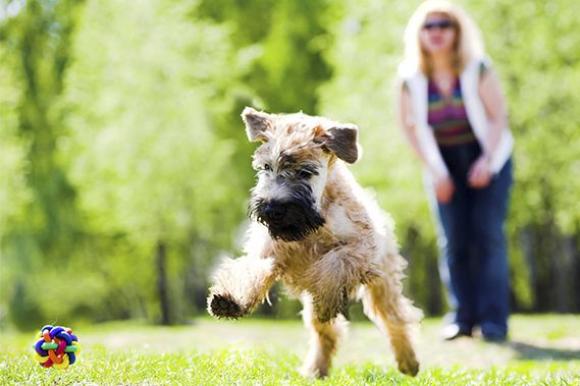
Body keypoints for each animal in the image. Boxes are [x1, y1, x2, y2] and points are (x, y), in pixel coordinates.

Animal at [208, 107, 422, 378]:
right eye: (266, 167)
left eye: (305, 172)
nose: (272, 209)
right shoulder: (266, 254)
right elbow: (248, 273)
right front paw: (228, 300)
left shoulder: (360, 248)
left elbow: (334, 263)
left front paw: (328, 295)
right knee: (327, 332)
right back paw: (316, 369)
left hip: (384, 286)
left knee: (395, 319)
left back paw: (408, 361)